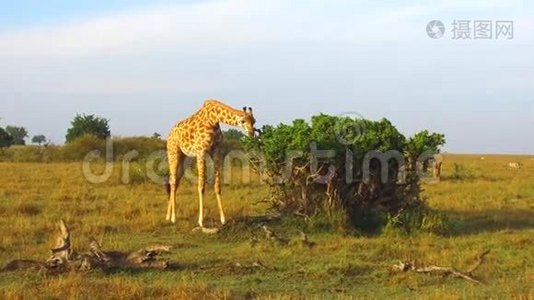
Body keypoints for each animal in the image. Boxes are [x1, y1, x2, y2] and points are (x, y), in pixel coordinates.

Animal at [168, 98, 258, 227]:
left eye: (254, 121)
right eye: (242, 121)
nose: (251, 134)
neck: (213, 119)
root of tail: (169, 134)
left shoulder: (216, 150)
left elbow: (217, 186)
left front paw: (223, 219)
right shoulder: (201, 151)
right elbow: (201, 186)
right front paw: (201, 221)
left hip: (186, 157)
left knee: (176, 180)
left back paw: (168, 216)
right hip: (173, 152)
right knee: (173, 180)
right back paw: (173, 218)